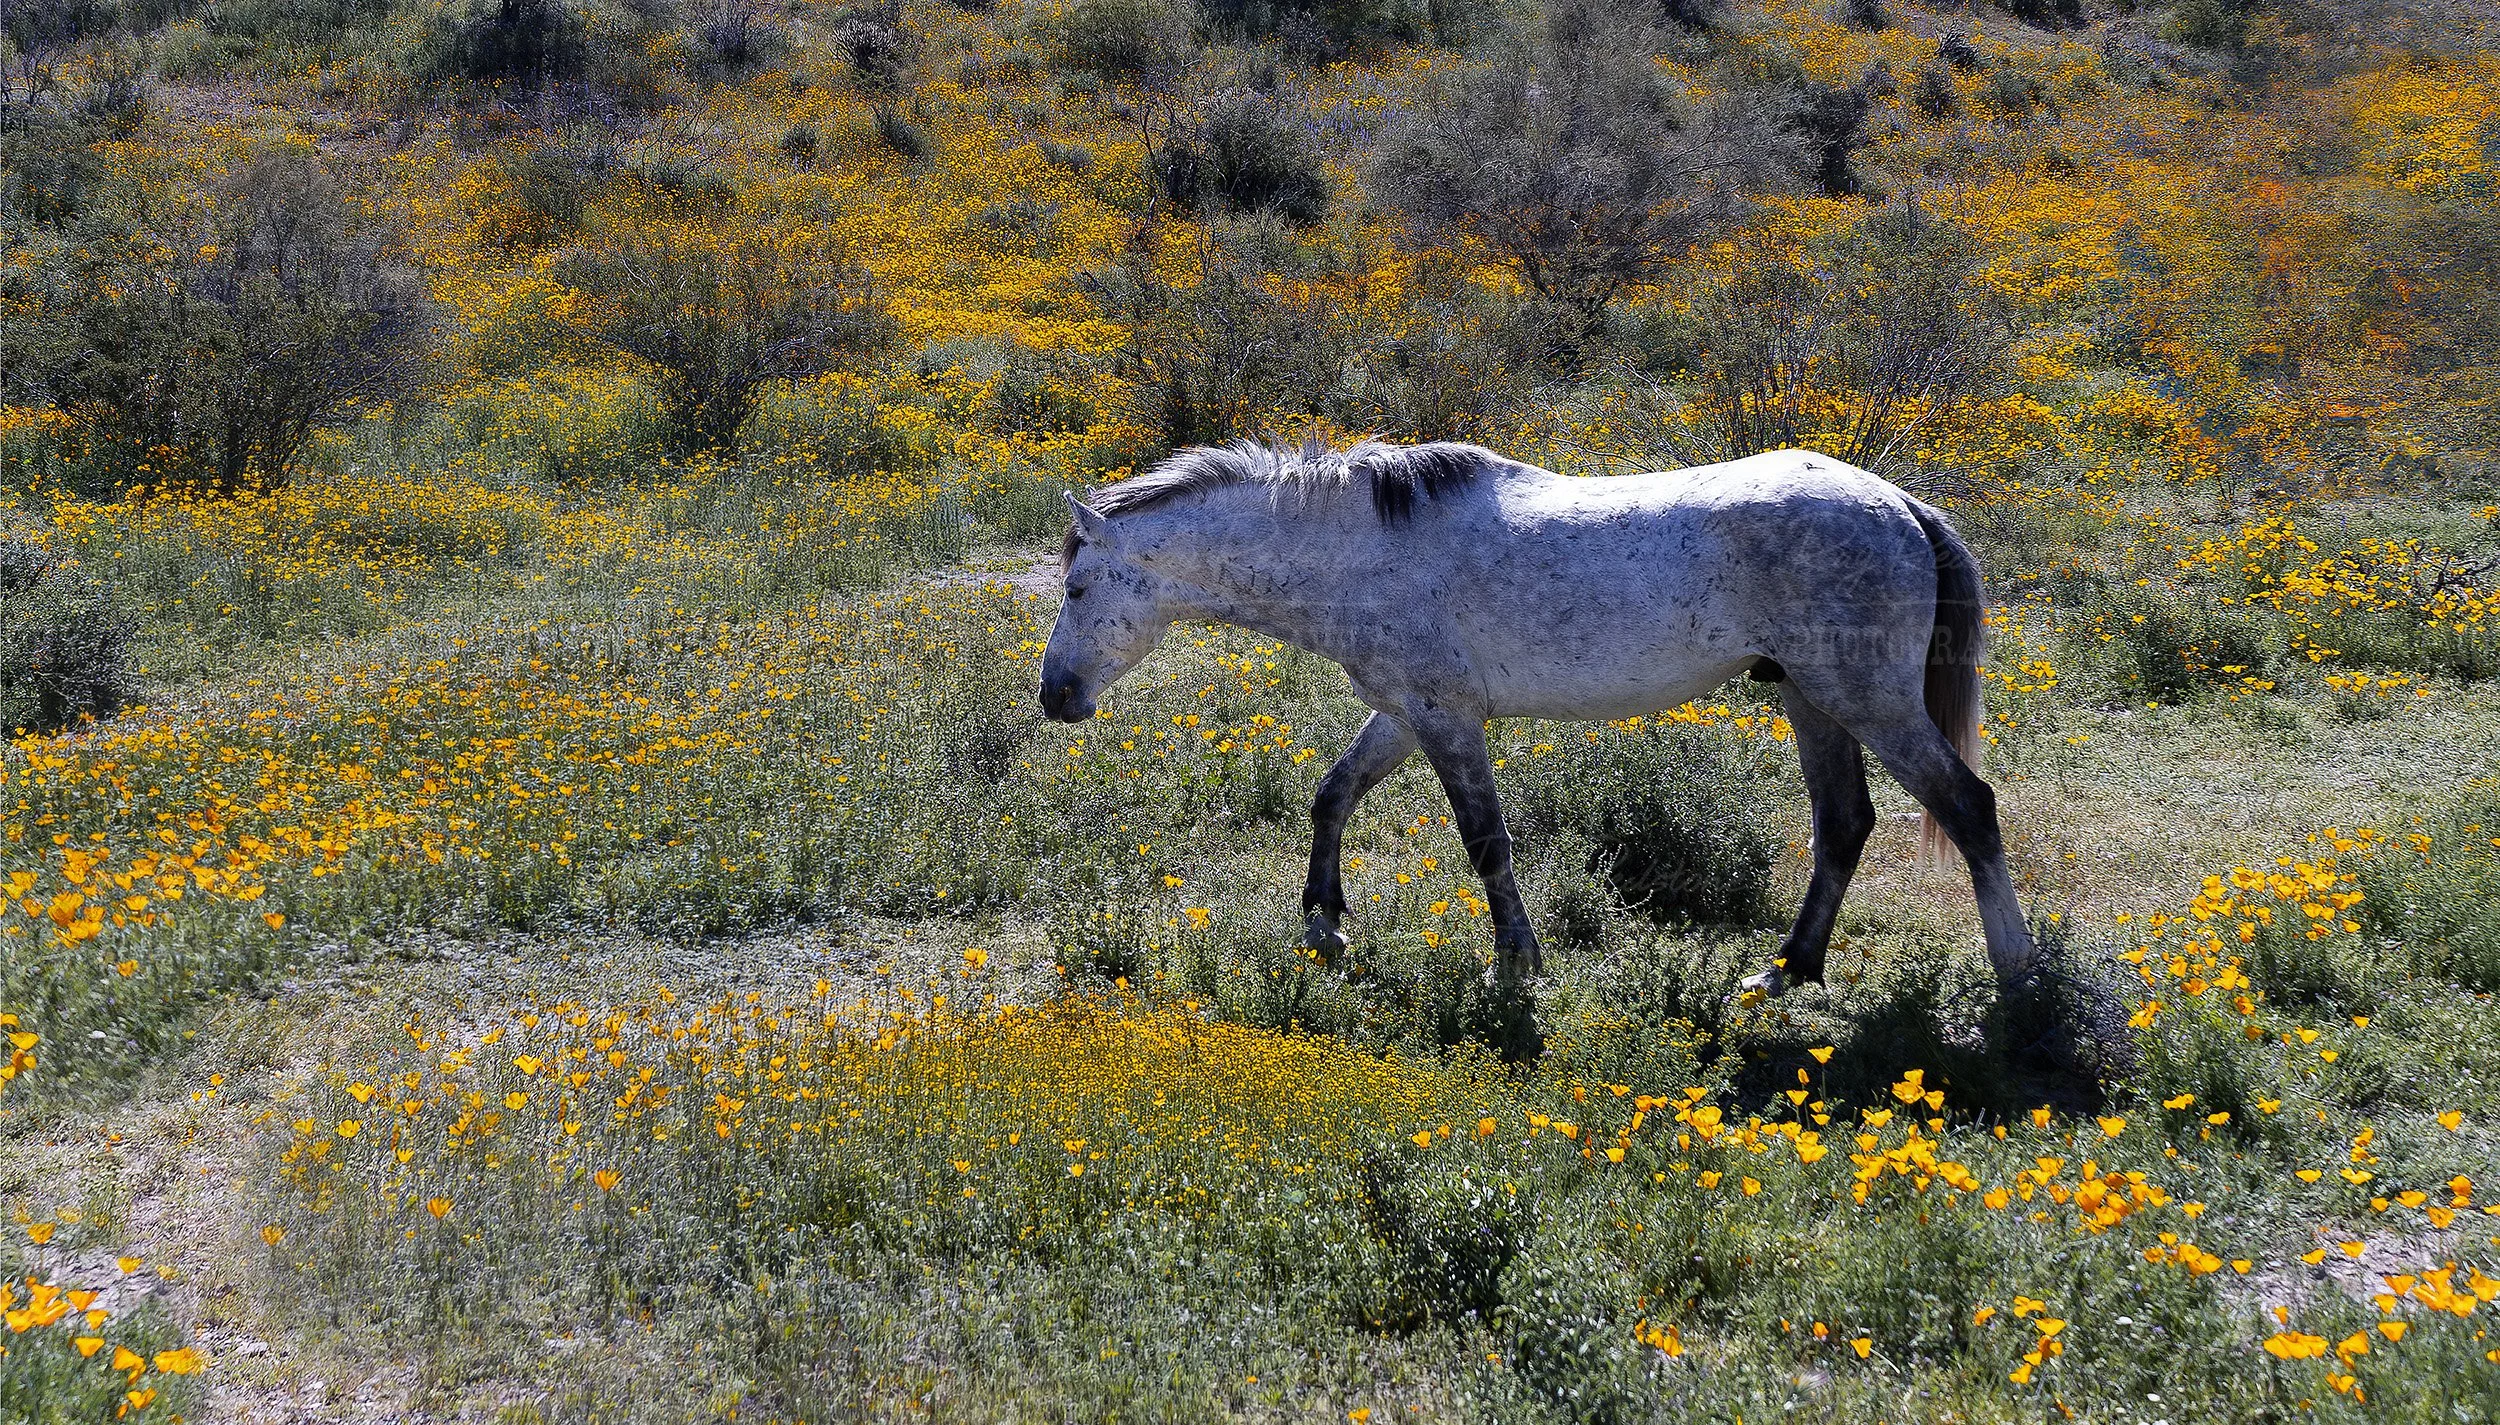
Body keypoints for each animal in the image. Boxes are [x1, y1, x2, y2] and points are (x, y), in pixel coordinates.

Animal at [1037, 436, 2035, 1013]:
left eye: (1078, 588)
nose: (1054, 696)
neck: (1358, 549)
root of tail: (1903, 506)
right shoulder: (1405, 711)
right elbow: (1332, 795)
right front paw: (1324, 922)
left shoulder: (1445, 718)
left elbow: (1486, 840)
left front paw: (1514, 961)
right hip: (1811, 698)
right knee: (1844, 826)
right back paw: (1787, 968)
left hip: (1868, 700)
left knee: (1968, 807)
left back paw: (2019, 975)